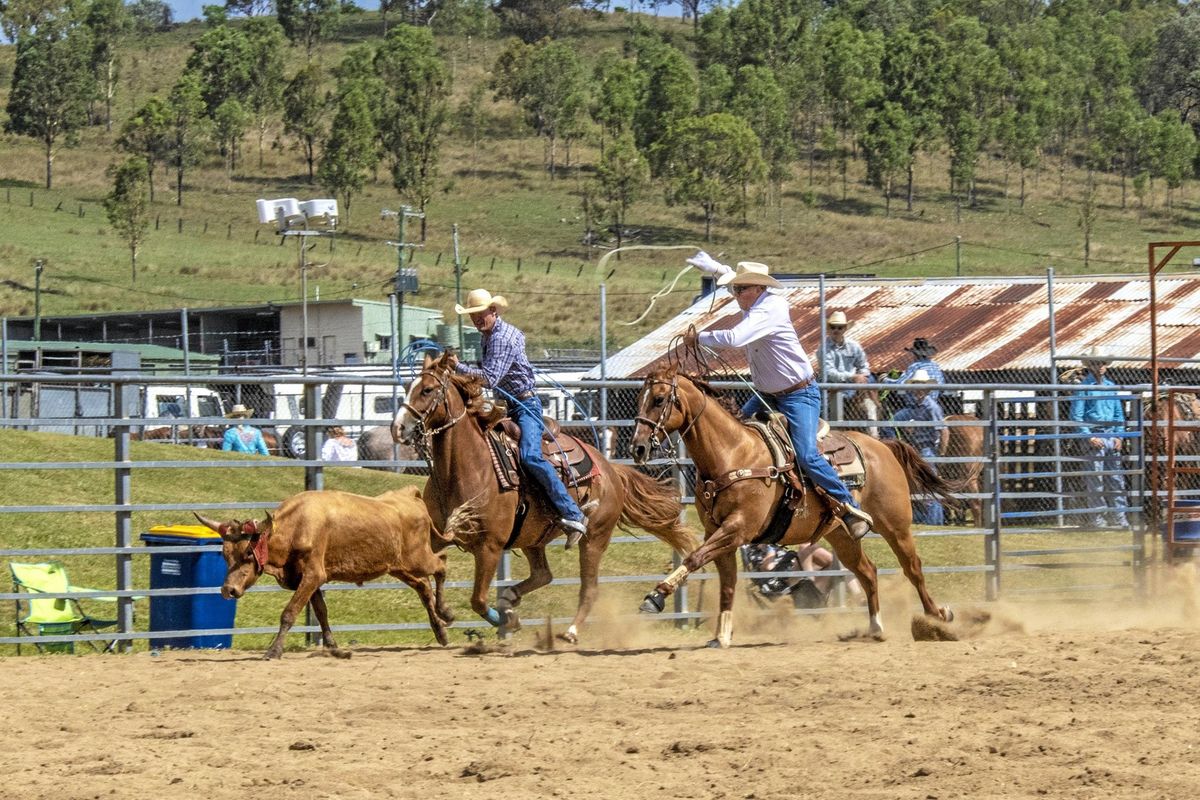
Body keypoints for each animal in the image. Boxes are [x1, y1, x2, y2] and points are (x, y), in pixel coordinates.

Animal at [393, 352, 696, 642]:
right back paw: (511, 597)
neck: (469, 467)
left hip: (595, 538)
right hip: (533, 538)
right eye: (408, 387)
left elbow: (477, 600)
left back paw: (569, 630)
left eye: (428, 390)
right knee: (543, 574)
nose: (398, 428)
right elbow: (428, 575)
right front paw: (444, 617)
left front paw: (507, 621)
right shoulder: (436, 536)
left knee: (588, 589)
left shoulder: (489, 547)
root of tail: (611, 469)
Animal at [628, 367, 955, 647]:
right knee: (867, 571)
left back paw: (936, 620)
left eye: (659, 399)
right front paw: (721, 635)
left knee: (913, 569)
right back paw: (875, 628)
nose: (638, 448)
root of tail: (883, 446)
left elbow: (695, 558)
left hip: (896, 526)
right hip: (841, 535)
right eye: (640, 398)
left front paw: (655, 597)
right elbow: (727, 582)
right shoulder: (718, 532)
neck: (733, 453)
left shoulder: (737, 528)